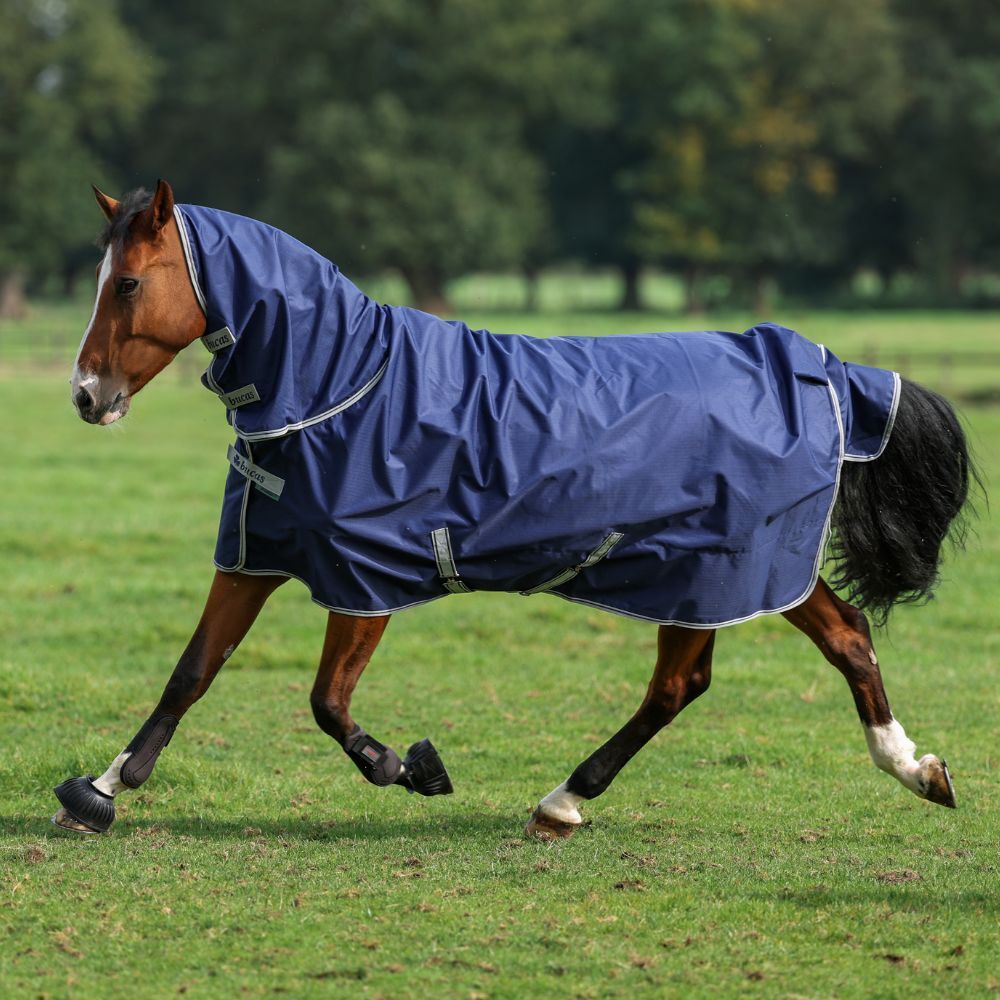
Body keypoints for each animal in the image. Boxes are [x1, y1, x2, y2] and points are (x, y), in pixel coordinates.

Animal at [53, 180, 978, 839]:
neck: (338, 387)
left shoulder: (364, 581)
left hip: (713, 570)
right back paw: (915, 769)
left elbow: (326, 703)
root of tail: (817, 366)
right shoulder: (256, 557)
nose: (86, 396)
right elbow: (191, 673)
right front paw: (101, 789)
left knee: (686, 683)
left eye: (127, 283)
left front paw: (412, 767)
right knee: (824, 643)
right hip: (730, 574)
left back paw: (564, 799)